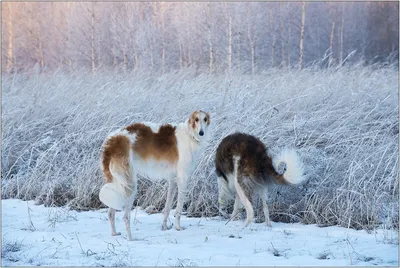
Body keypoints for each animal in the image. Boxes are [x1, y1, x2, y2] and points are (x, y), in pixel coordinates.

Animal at [99, 110, 211, 240]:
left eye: (205, 119)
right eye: (196, 119)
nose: (201, 133)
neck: (190, 134)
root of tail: (111, 141)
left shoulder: (172, 180)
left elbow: (167, 208)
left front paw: (164, 227)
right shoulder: (183, 178)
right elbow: (178, 209)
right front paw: (178, 227)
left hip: (118, 183)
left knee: (110, 212)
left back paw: (114, 233)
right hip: (129, 184)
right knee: (125, 216)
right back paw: (131, 239)